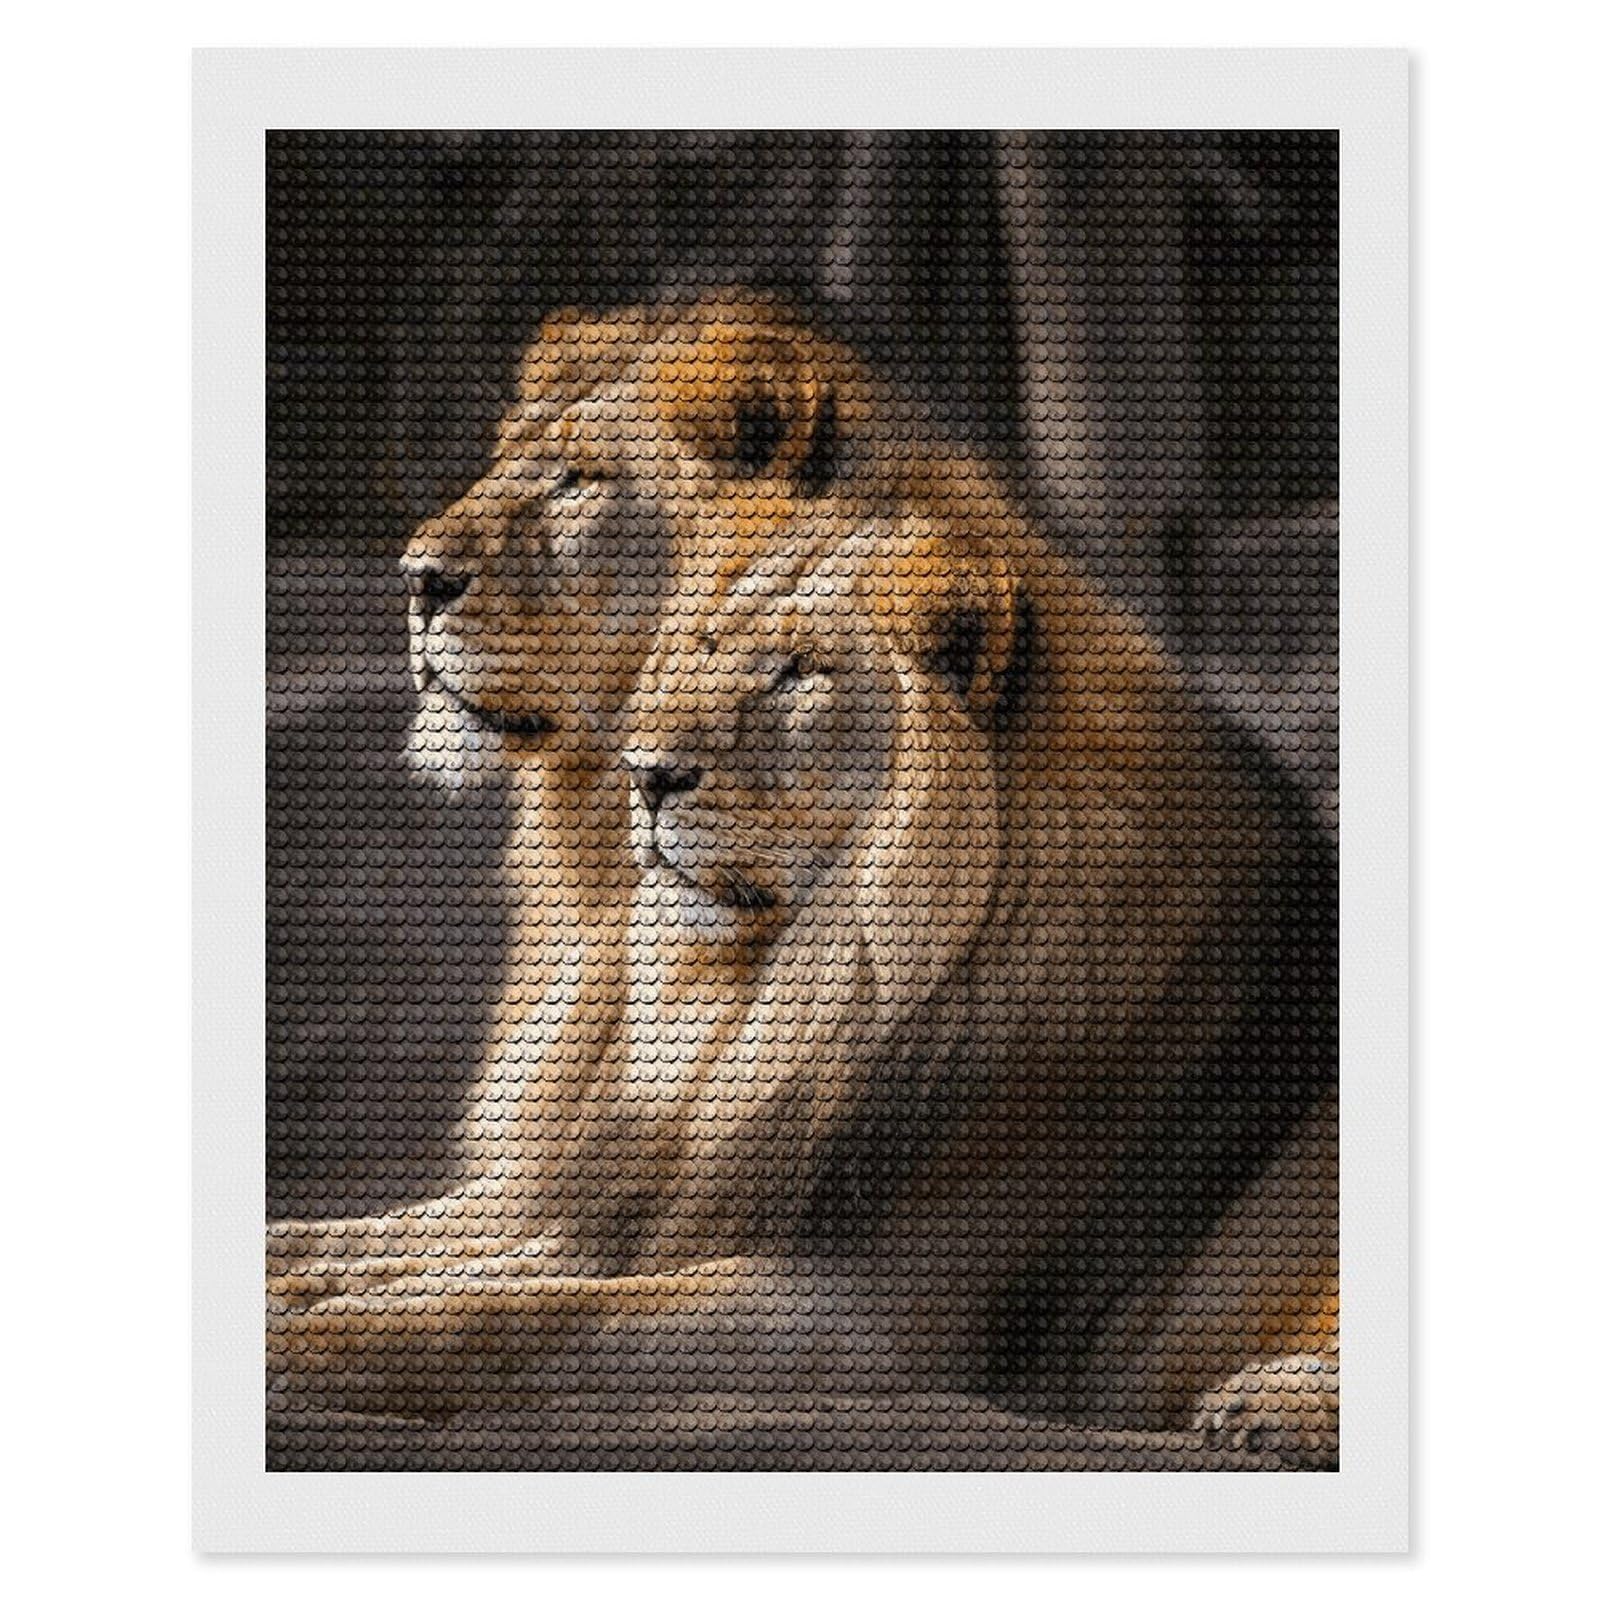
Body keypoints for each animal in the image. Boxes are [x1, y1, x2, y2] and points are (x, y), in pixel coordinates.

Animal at [270, 477, 1337, 1459]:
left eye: (794, 674)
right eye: (703, 648)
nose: (644, 774)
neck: (802, 992)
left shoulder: (872, 1313)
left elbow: (532, 1316)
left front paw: (306, 1342)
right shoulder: (668, 1203)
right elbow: (436, 1247)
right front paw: (297, 1272)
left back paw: (1266, 1407)